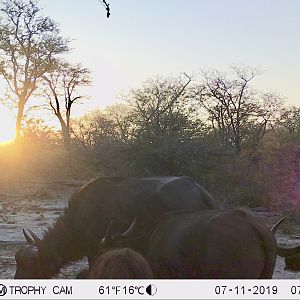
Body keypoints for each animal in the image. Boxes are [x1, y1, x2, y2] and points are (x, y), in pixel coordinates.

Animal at [14, 176, 216, 278]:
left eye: (30, 265)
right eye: (18, 264)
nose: (17, 279)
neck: (79, 216)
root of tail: (200, 191)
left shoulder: (94, 250)